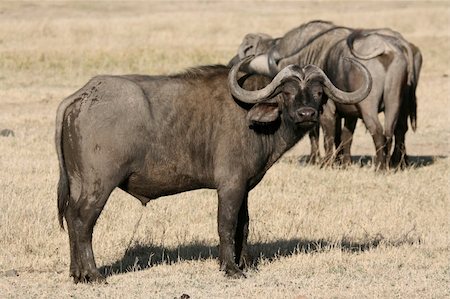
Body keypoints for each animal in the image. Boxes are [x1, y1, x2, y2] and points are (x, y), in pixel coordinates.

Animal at [56, 56, 370, 284]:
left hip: (78, 182)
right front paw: (231, 268)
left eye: (318, 92)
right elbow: (226, 224)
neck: (252, 117)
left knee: (71, 218)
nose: (307, 114)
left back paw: (77, 273)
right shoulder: (230, 185)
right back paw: (93, 274)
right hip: (99, 184)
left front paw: (246, 263)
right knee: (83, 222)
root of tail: (82, 96)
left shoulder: (245, 186)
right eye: (288, 92)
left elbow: (244, 225)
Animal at [232, 20, 422, 171]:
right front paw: (343, 163)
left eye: (247, 49)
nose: (233, 62)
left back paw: (380, 167)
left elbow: (323, 134)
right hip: (395, 103)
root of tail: (389, 49)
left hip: (369, 107)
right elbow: (344, 136)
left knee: (378, 131)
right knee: (394, 130)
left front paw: (324, 162)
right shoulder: (349, 112)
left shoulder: (326, 109)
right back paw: (396, 163)